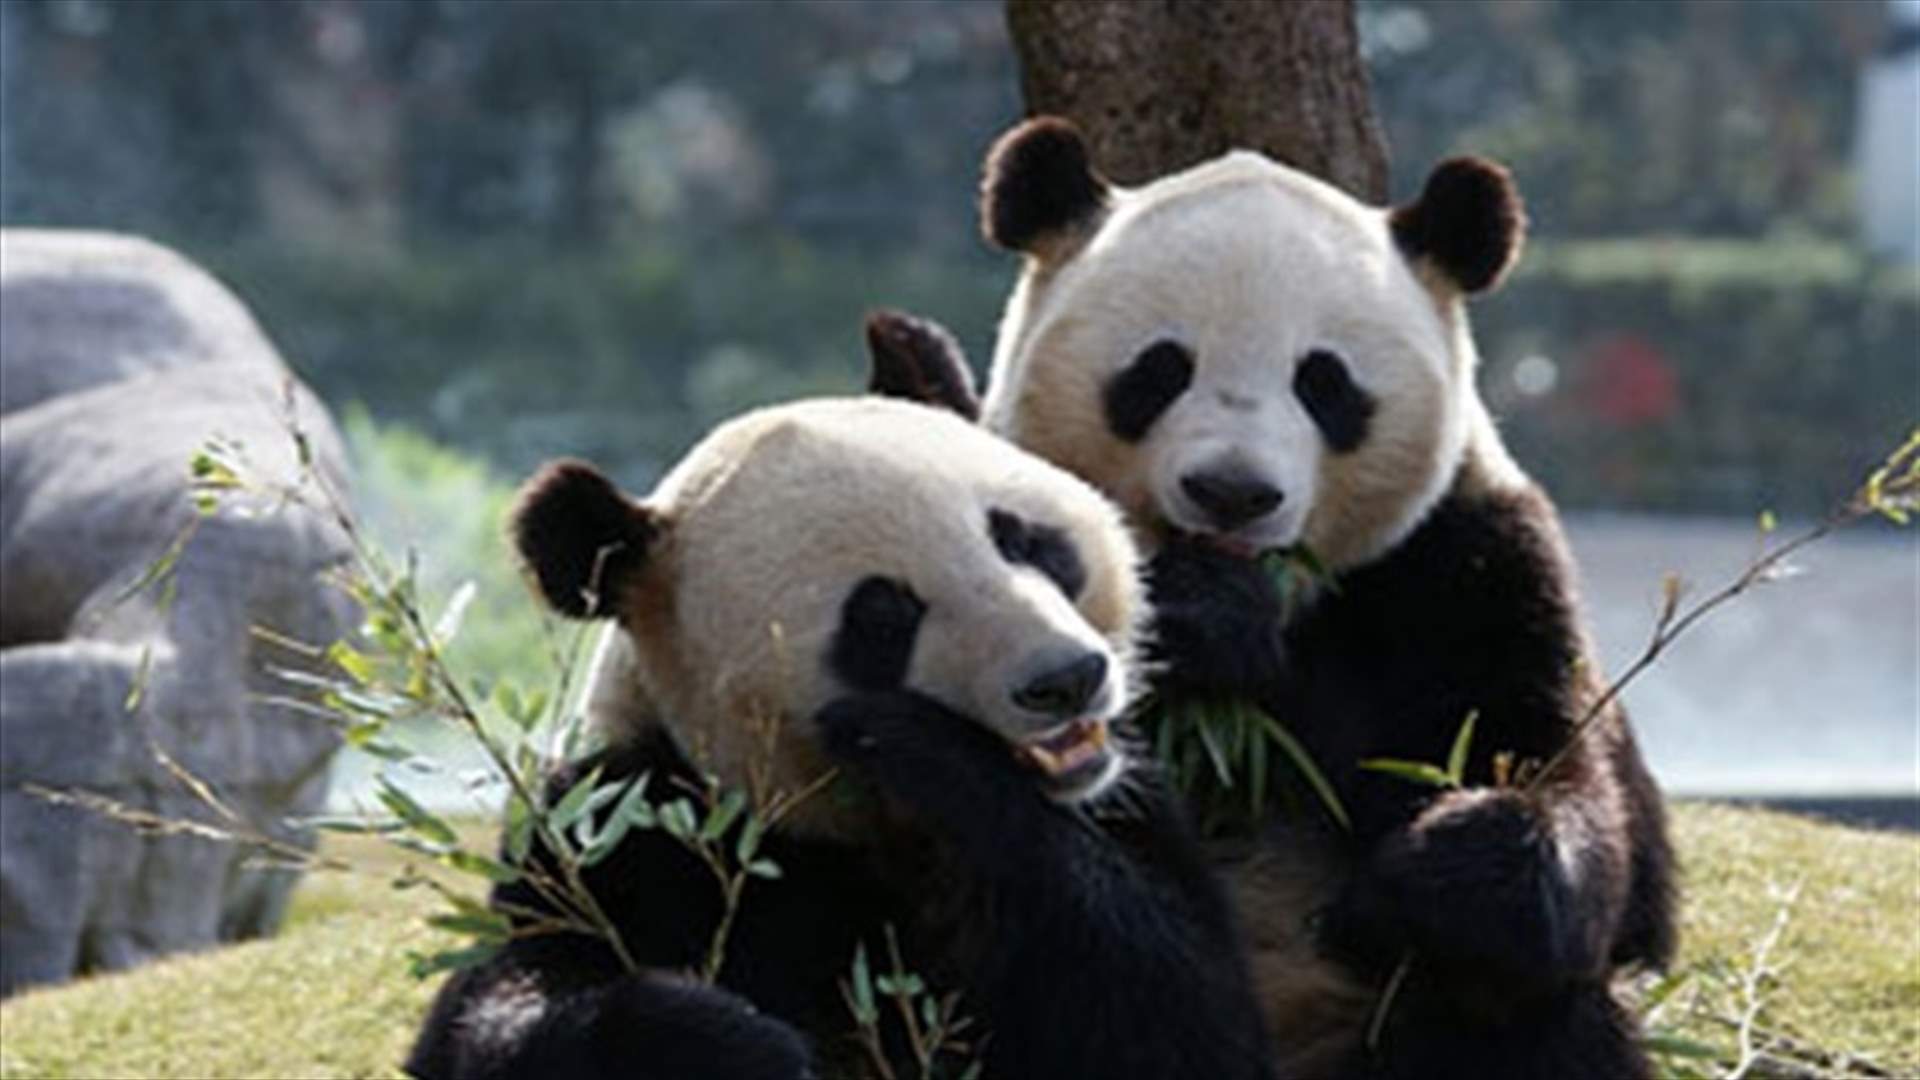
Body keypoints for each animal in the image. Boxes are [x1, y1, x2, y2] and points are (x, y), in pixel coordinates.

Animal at [405, 397, 1277, 1080]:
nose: (1065, 678)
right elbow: (503, 1002)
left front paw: (920, 748)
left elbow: (1178, 1019)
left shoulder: (1123, 811)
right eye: (884, 612)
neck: (852, 832)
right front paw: (726, 1042)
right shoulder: (616, 826)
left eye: (1023, 539)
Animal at [864, 118, 1677, 1080]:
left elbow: (1559, 784)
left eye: (1324, 382)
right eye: (1160, 370)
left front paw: (1437, 868)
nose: (1232, 491)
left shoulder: (1462, 567)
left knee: (1539, 1017)